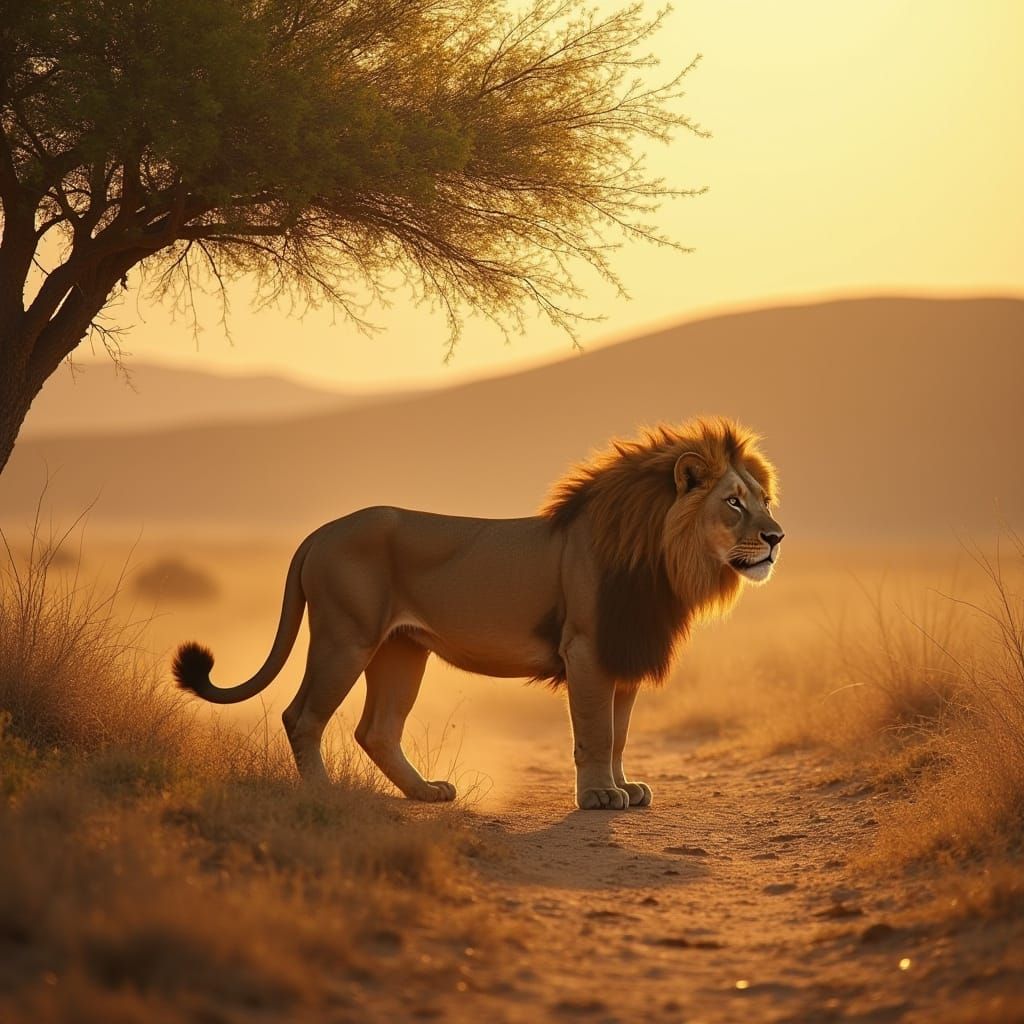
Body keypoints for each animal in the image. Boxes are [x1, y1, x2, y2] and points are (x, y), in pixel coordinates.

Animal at [174, 416, 783, 810]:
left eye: (764, 500)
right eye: (733, 503)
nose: (777, 537)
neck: (662, 559)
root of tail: (318, 533)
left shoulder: (624, 648)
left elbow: (620, 732)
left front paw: (625, 788)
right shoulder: (587, 648)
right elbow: (595, 730)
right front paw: (598, 796)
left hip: (401, 651)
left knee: (377, 730)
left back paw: (425, 792)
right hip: (345, 638)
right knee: (302, 716)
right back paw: (324, 796)